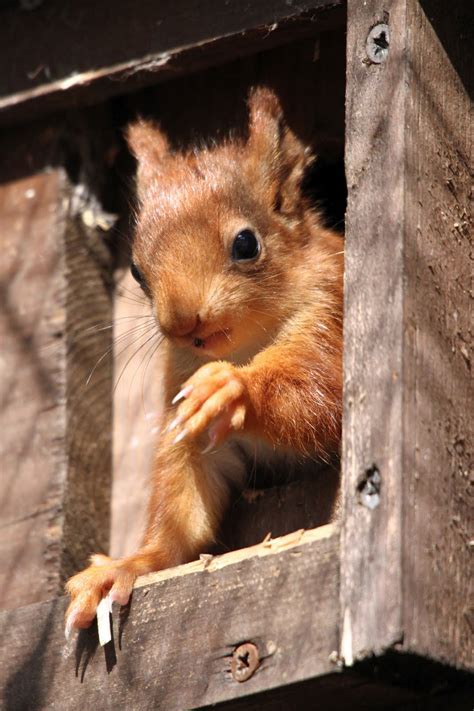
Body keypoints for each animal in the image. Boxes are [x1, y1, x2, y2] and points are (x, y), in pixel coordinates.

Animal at [65, 86, 342, 632]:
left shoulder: (332, 314)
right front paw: (127, 566)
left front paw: (235, 389)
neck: (243, 347)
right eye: (136, 270)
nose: (181, 323)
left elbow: (321, 391)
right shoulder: (180, 393)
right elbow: (184, 504)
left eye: (246, 243)